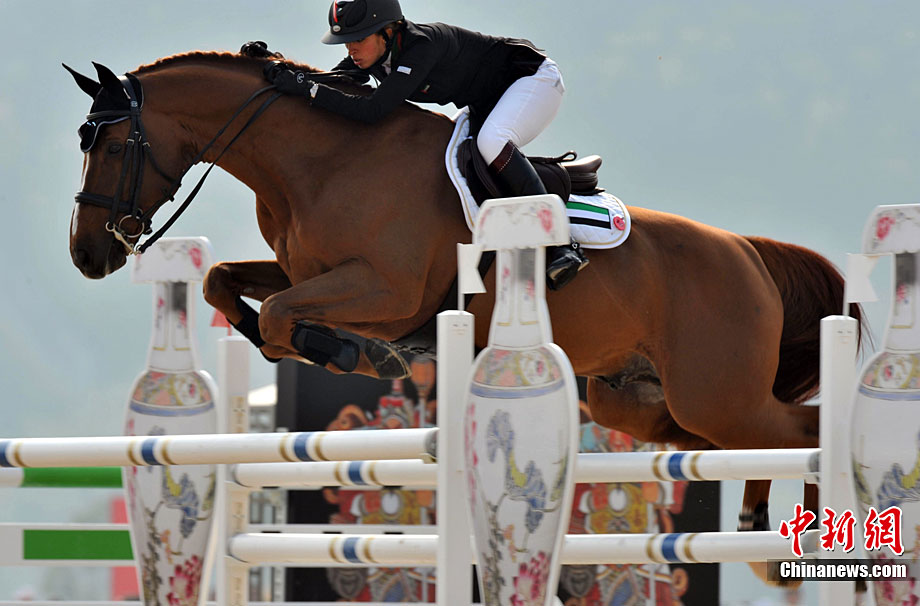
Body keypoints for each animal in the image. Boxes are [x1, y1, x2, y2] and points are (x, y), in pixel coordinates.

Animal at [65, 52, 862, 580]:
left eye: (113, 142)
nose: (86, 255)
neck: (319, 162)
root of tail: (748, 252)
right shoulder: (310, 272)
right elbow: (225, 285)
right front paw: (314, 344)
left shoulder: (384, 292)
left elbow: (283, 317)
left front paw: (345, 351)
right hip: (644, 401)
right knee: (745, 443)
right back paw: (760, 524)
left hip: (714, 392)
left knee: (804, 431)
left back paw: (819, 538)